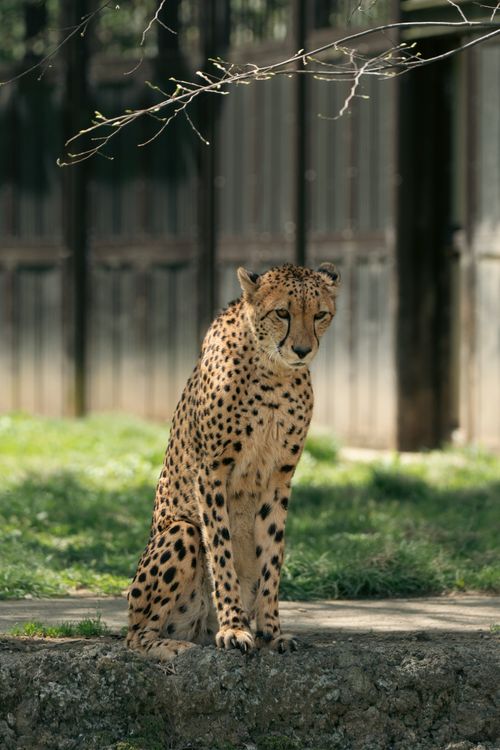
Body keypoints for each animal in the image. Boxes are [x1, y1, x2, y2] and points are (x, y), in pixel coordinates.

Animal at [126, 262, 341, 660]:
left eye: (320, 314)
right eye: (282, 313)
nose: (302, 350)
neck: (274, 372)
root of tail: (198, 629)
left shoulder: (278, 477)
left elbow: (271, 557)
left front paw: (270, 632)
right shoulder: (211, 472)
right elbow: (221, 550)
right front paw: (234, 628)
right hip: (180, 531)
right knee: (135, 635)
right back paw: (175, 645)